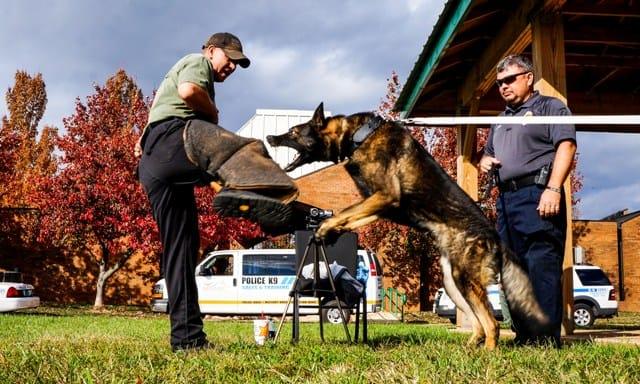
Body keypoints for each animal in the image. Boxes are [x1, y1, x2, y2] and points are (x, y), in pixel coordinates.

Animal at [268, 103, 548, 350]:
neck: (361, 136)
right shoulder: (379, 204)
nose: (270, 137)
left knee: (492, 324)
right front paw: (330, 230)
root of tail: (495, 238)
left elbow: (345, 212)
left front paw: (325, 227)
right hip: (453, 283)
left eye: (294, 132)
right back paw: (469, 349)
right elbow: (349, 215)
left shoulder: (385, 196)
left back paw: (488, 354)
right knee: (479, 323)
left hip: (465, 279)